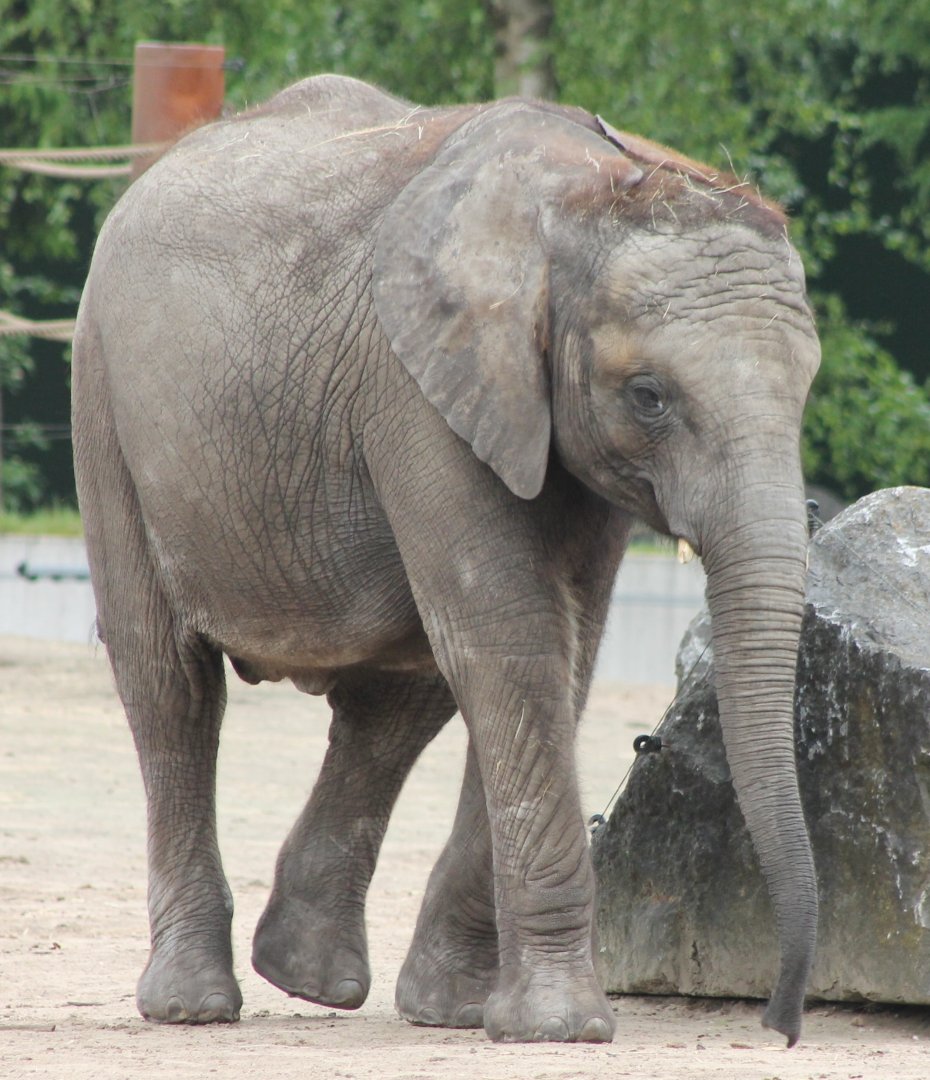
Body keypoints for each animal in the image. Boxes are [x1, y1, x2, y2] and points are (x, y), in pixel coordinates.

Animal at [71, 73, 820, 1046]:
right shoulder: (418, 389)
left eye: (806, 389)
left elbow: (561, 655)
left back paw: (310, 978)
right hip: (103, 400)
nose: (781, 1027)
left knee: (400, 692)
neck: (588, 194)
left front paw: (464, 1013)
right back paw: (193, 1007)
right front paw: (560, 1030)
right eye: (649, 396)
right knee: (171, 686)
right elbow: (514, 643)